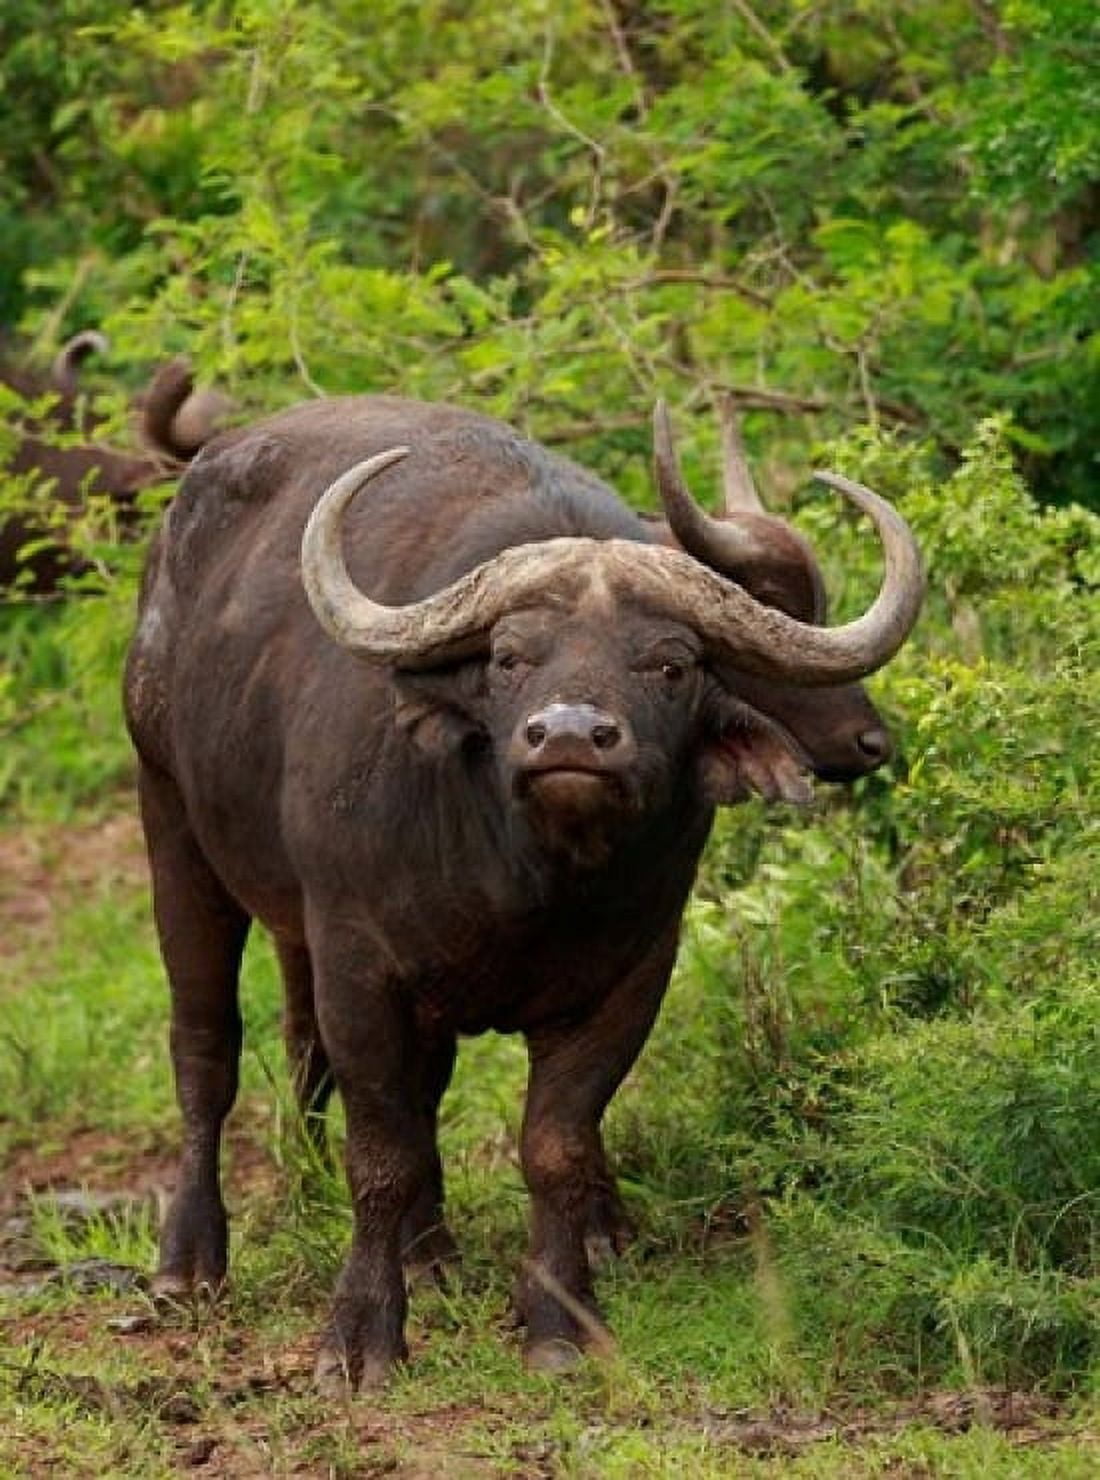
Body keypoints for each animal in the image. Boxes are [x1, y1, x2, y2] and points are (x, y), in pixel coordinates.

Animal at [124, 394, 923, 1390]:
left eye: (671, 664)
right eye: (509, 657)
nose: (571, 736)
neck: (525, 872)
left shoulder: (629, 974)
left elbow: (554, 1146)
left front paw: (559, 1316)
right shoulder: (357, 963)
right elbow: (379, 1151)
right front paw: (359, 1336)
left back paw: (433, 1256)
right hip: (174, 824)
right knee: (206, 1049)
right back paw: (190, 1261)